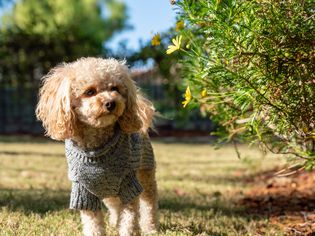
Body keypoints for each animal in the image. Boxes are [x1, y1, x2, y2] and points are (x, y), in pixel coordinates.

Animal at [36, 57, 159, 236]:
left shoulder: (128, 184)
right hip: (108, 189)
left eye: (115, 88)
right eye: (89, 92)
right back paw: (115, 222)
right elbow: (93, 224)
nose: (111, 103)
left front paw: (128, 229)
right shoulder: (84, 192)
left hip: (145, 173)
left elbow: (129, 219)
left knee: (149, 202)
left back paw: (150, 227)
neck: (97, 147)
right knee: (115, 205)